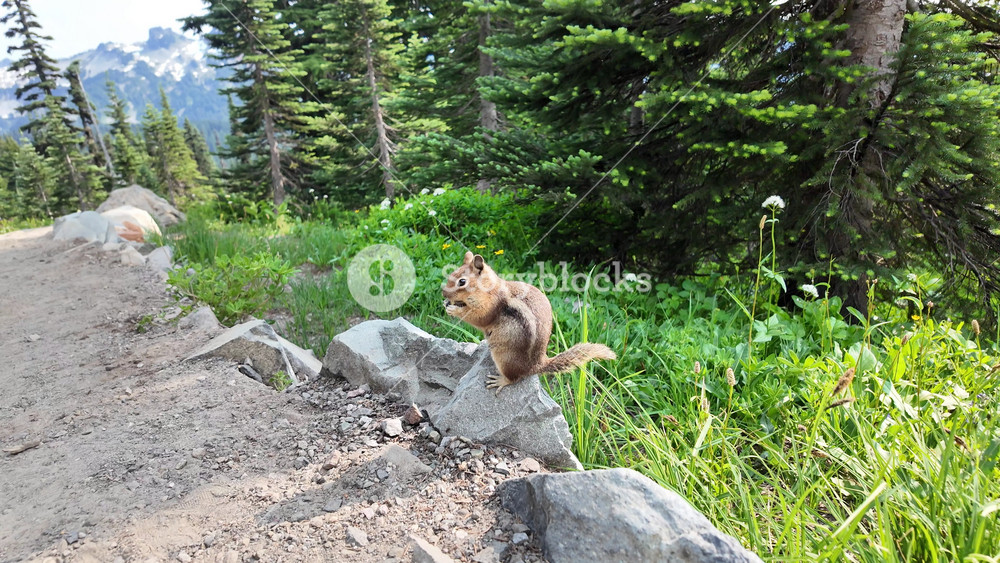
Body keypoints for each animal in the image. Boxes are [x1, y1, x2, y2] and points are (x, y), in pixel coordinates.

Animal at [442, 251, 616, 393]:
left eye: (462, 282)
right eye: (451, 274)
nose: (443, 293)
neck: (489, 289)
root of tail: (538, 365)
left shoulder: (490, 307)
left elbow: (478, 318)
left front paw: (454, 310)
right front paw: (447, 304)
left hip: (503, 357)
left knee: (515, 378)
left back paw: (500, 381)